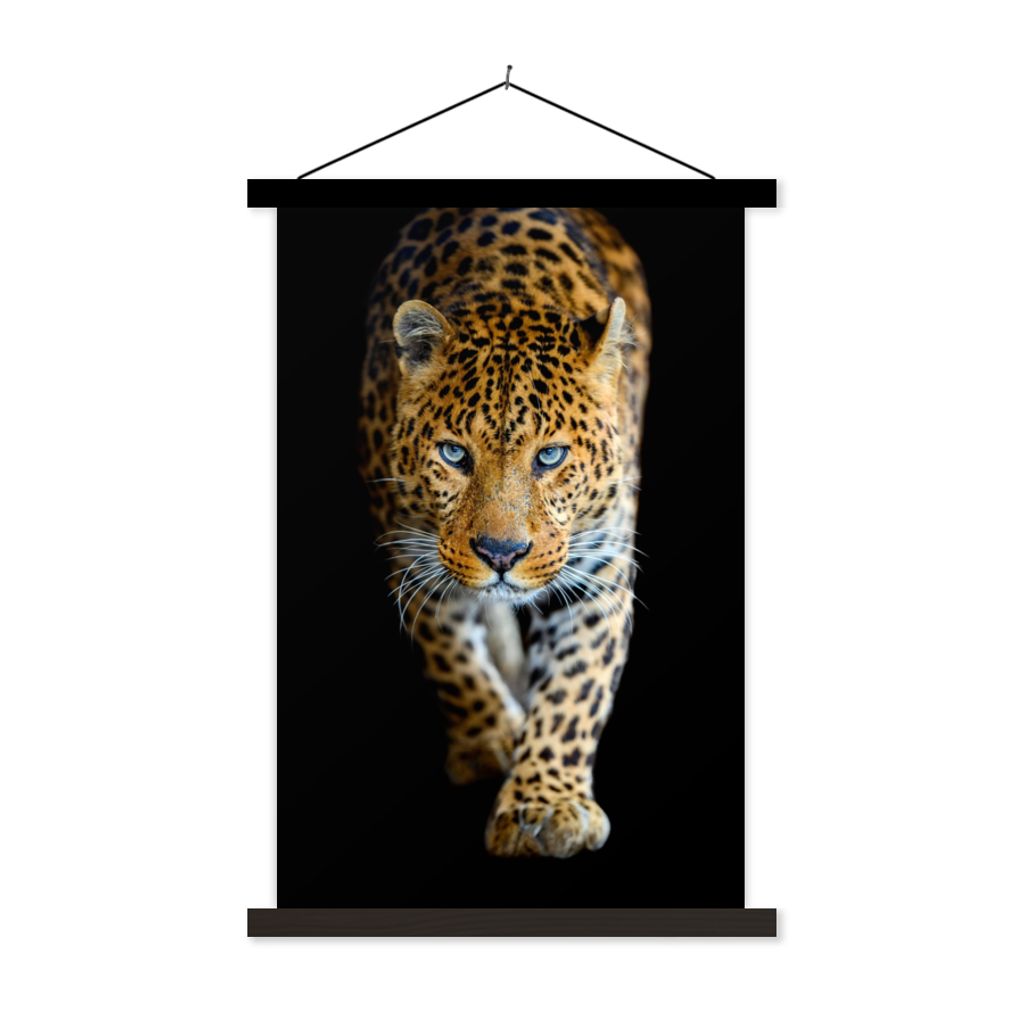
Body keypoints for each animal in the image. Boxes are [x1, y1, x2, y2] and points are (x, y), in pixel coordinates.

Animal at [357, 207, 651, 858]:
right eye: (453, 454)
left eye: (550, 456)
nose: (500, 554)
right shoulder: (411, 554)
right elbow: (450, 657)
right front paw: (489, 738)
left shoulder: (599, 575)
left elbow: (574, 692)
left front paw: (546, 804)